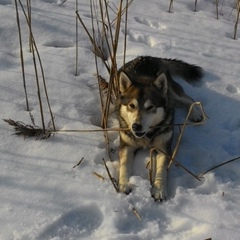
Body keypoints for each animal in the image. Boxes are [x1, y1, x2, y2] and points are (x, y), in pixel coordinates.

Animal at [117, 56, 203, 201]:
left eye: (150, 107)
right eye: (131, 105)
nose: (136, 126)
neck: (147, 136)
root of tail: (148, 57)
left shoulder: (164, 148)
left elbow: (161, 170)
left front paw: (159, 189)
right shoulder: (126, 146)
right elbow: (124, 166)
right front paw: (123, 184)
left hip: (172, 92)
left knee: (189, 99)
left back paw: (195, 113)